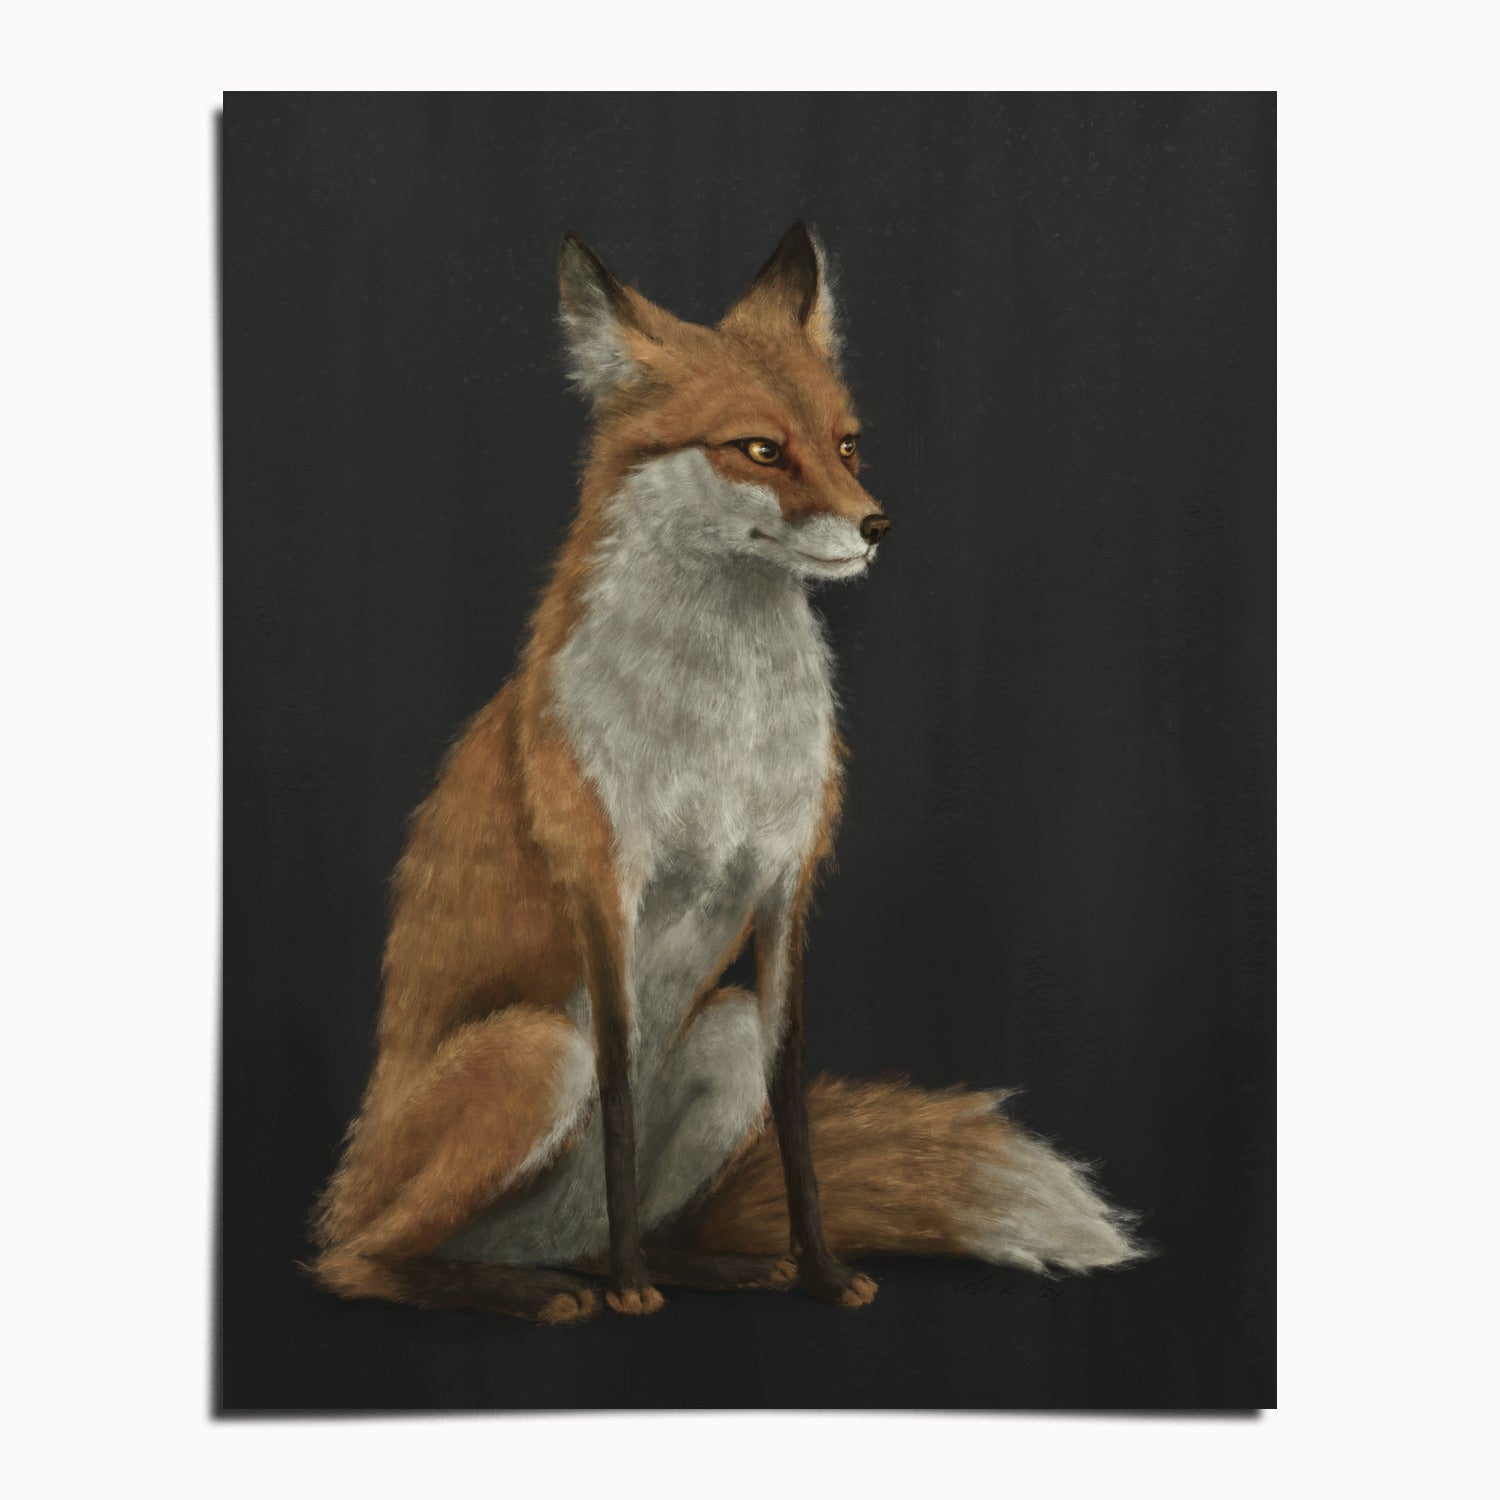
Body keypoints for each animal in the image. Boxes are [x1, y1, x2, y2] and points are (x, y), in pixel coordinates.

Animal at [309, 223, 1144, 1323]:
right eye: (758, 449)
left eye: (847, 444)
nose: (877, 526)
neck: (724, 731)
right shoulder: (606, 889)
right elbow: (620, 1099)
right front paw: (633, 1292)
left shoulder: (787, 887)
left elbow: (794, 1114)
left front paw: (820, 1272)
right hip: (535, 1052)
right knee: (359, 1260)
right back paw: (543, 1289)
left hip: (723, 1033)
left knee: (607, 1228)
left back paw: (700, 1266)